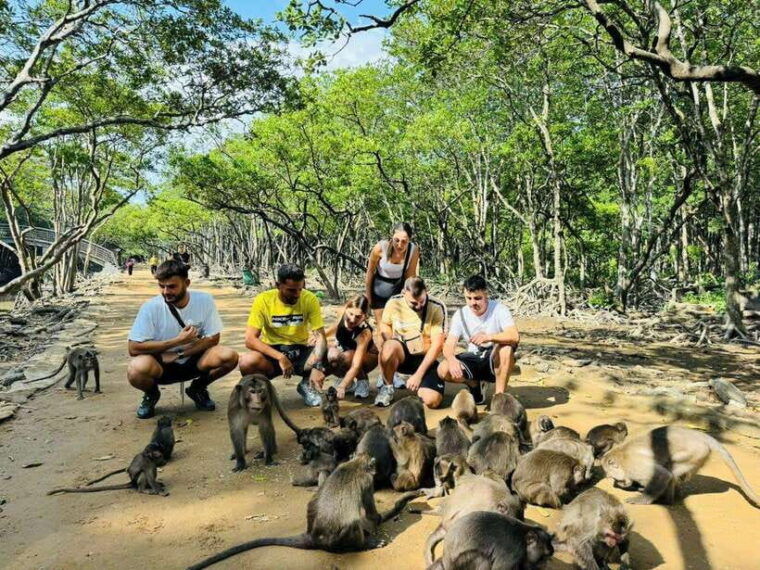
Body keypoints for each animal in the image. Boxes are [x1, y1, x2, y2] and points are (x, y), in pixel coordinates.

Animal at [186, 454, 421, 569]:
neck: (355, 464)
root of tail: (313, 536)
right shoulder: (366, 481)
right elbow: (371, 513)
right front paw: (377, 522)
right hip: (335, 541)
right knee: (352, 523)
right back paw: (361, 545)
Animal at [426, 511, 554, 570]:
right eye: (543, 556)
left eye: (548, 557)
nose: (546, 563)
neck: (523, 536)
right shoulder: (514, 551)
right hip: (460, 564)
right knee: (483, 558)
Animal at [601, 425, 760, 507]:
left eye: (612, 477)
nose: (616, 483)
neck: (622, 455)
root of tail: (701, 435)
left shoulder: (634, 466)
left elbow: (662, 475)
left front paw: (643, 498)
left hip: (696, 452)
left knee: (671, 470)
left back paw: (667, 501)